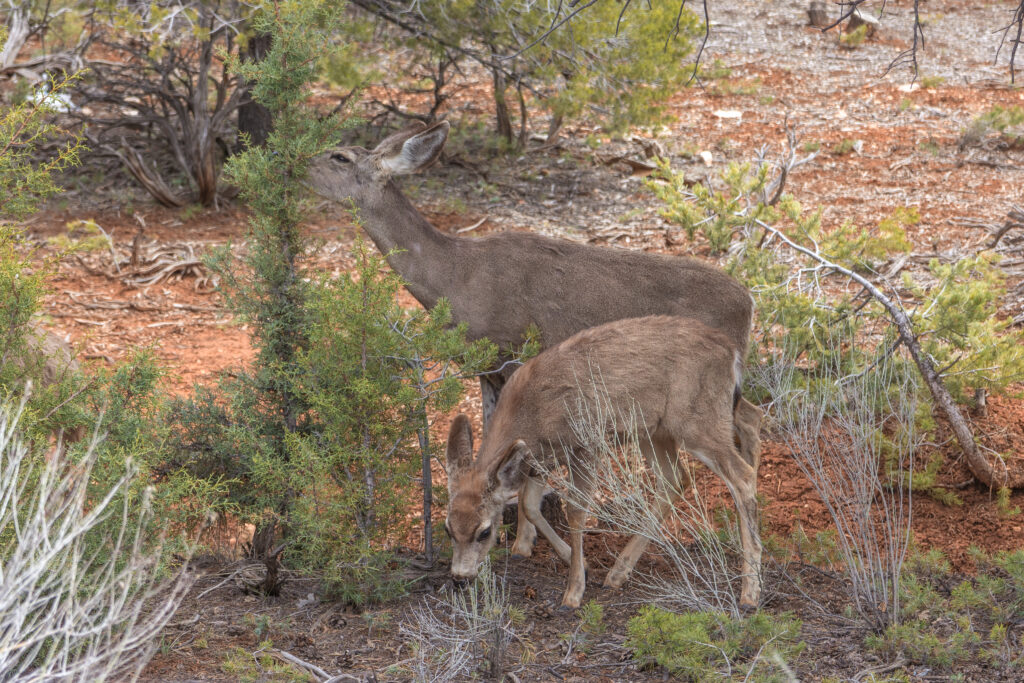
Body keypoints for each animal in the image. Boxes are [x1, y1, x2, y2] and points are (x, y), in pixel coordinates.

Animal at [307, 122, 765, 557]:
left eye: (340, 156)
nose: (296, 163)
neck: (456, 277)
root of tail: (748, 301)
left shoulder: (514, 350)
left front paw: (523, 539)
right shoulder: (487, 368)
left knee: (743, 427)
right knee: (751, 417)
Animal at [442, 315, 761, 610]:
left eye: (484, 531)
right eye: (448, 529)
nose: (459, 577)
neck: (529, 414)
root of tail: (731, 352)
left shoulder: (586, 444)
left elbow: (576, 511)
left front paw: (573, 592)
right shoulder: (539, 458)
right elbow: (530, 505)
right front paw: (579, 563)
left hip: (697, 421)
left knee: (742, 476)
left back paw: (750, 593)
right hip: (653, 430)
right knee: (676, 477)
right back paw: (617, 574)